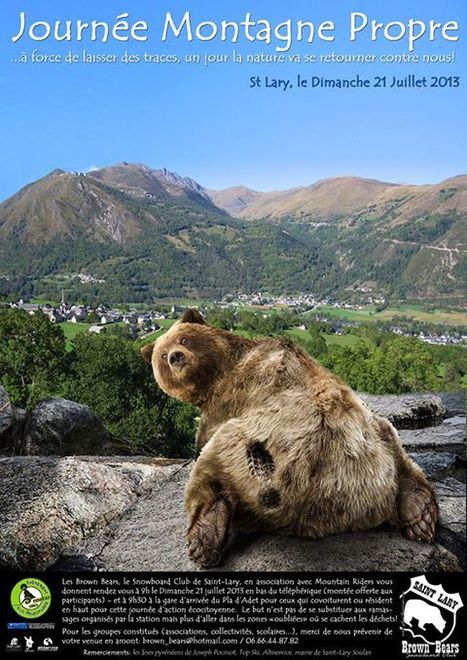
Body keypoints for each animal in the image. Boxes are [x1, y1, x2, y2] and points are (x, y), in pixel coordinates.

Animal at [142, 310, 438, 568]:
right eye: (163, 354)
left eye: (184, 339)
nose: (176, 357)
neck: (220, 370)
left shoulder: (231, 397)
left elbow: (204, 439)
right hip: (371, 444)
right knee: (398, 451)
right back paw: (420, 515)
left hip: (256, 448)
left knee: (212, 464)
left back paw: (204, 536)